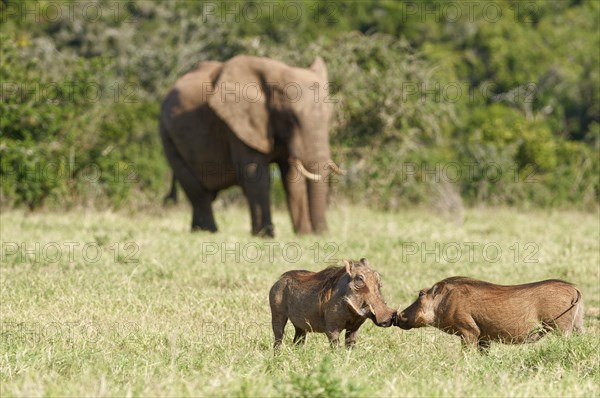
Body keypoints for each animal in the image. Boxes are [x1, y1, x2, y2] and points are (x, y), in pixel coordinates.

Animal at [159, 56, 342, 236]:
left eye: (330, 117)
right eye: (292, 118)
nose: (323, 233)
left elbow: (293, 179)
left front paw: (303, 235)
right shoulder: (237, 125)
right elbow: (257, 176)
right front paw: (265, 236)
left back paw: (197, 231)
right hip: (167, 136)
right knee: (197, 191)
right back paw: (208, 232)